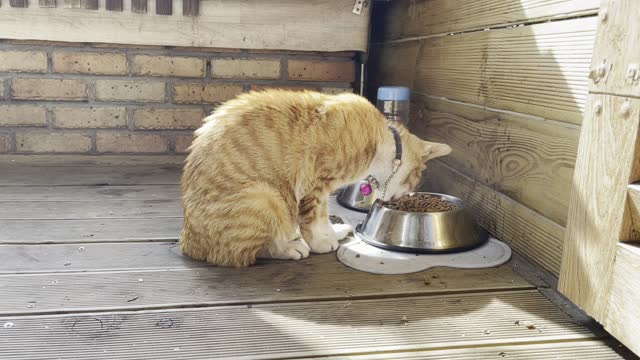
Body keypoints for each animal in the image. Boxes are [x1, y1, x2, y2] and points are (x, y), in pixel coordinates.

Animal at [178, 90, 452, 268]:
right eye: (415, 181)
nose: (402, 198)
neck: (379, 139)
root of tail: (187, 242)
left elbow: (323, 218)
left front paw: (334, 232)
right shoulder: (315, 185)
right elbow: (315, 219)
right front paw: (321, 242)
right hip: (266, 198)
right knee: (240, 254)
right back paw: (289, 247)